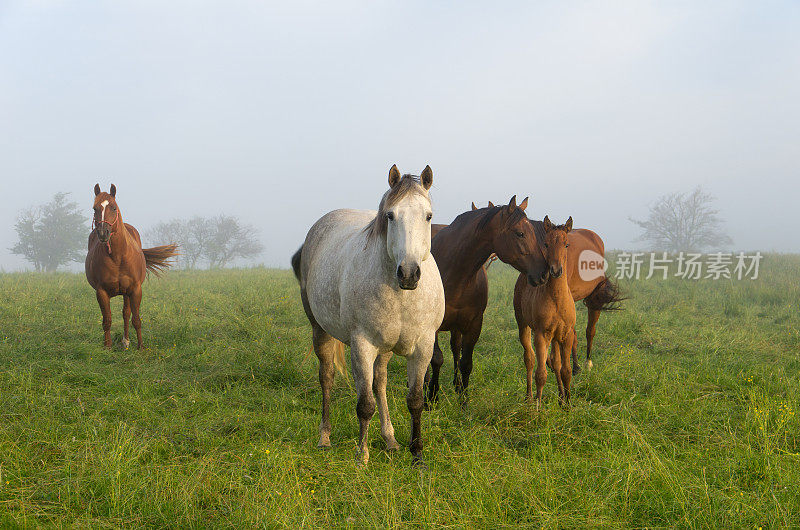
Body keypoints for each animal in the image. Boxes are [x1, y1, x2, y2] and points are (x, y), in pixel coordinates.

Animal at [85, 184, 177, 348]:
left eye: (113, 207)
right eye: (94, 208)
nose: (103, 233)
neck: (118, 257)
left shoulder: (135, 290)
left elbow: (136, 319)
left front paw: (140, 347)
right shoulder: (101, 292)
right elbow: (107, 320)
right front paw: (107, 347)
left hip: (127, 292)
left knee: (126, 313)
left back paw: (126, 341)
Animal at [292, 164, 446, 462]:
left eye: (428, 216)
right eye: (390, 215)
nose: (408, 273)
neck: (402, 295)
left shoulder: (423, 346)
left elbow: (415, 401)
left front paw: (417, 455)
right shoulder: (362, 345)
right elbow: (364, 404)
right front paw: (361, 455)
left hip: (384, 348)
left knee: (380, 383)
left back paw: (390, 439)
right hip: (320, 331)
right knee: (327, 377)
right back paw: (324, 437)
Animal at [424, 197, 552, 400]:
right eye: (520, 233)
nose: (543, 274)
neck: (456, 274)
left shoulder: (474, 324)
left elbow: (466, 362)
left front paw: (463, 399)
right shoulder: (433, 326)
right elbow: (436, 359)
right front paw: (432, 398)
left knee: (455, 348)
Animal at [516, 214, 580, 404]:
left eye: (566, 244)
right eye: (546, 244)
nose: (555, 270)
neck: (557, 299)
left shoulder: (566, 334)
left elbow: (566, 370)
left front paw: (567, 403)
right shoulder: (541, 334)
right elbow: (541, 374)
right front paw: (538, 406)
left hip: (555, 337)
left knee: (556, 363)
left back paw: (560, 397)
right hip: (523, 325)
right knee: (529, 359)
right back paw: (529, 397)